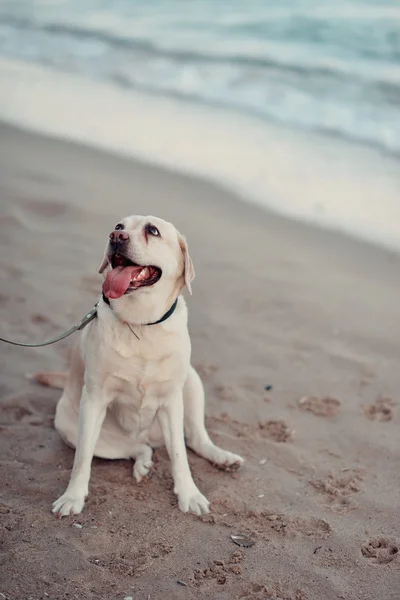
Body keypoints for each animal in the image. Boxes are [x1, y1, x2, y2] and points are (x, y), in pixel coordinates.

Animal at [38, 218, 244, 516]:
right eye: (118, 225)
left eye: (152, 230)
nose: (115, 237)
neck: (141, 323)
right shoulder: (94, 399)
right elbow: (82, 460)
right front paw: (73, 496)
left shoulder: (172, 400)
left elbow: (179, 455)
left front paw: (189, 494)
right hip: (72, 426)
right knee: (135, 447)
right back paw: (143, 461)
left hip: (192, 383)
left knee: (194, 438)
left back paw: (223, 458)